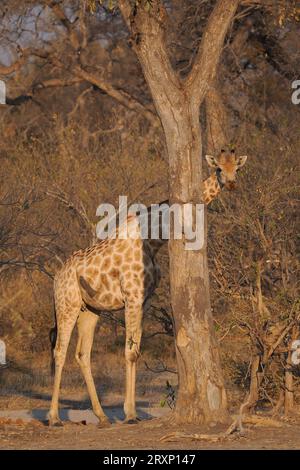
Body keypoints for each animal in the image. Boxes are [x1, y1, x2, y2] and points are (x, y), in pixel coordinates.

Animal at [48, 150, 247, 426]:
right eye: (218, 168)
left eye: (236, 169)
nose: (231, 183)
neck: (154, 239)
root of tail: (57, 276)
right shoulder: (132, 297)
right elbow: (130, 351)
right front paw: (131, 413)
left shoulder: (144, 300)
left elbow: (137, 349)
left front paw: (129, 411)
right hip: (67, 305)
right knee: (59, 350)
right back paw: (54, 417)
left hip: (90, 310)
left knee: (82, 354)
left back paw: (102, 416)